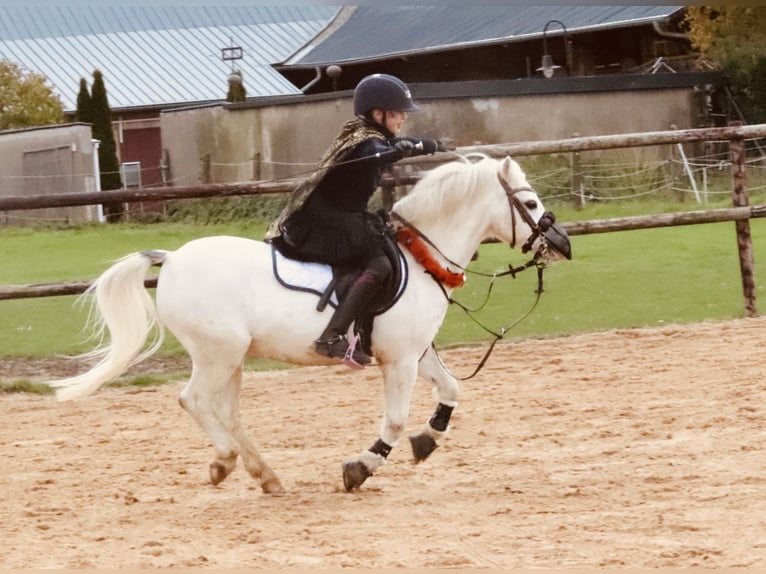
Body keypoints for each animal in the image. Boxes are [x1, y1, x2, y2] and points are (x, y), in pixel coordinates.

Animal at [45, 155, 571, 493]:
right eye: (529, 204)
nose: (562, 244)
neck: (420, 259)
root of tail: (171, 258)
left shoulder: (415, 354)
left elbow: (451, 391)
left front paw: (428, 439)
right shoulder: (399, 361)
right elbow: (395, 419)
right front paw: (362, 467)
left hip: (231, 359)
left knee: (228, 412)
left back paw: (265, 475)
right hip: (217, 354)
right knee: (193, 401)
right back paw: (226, 462)